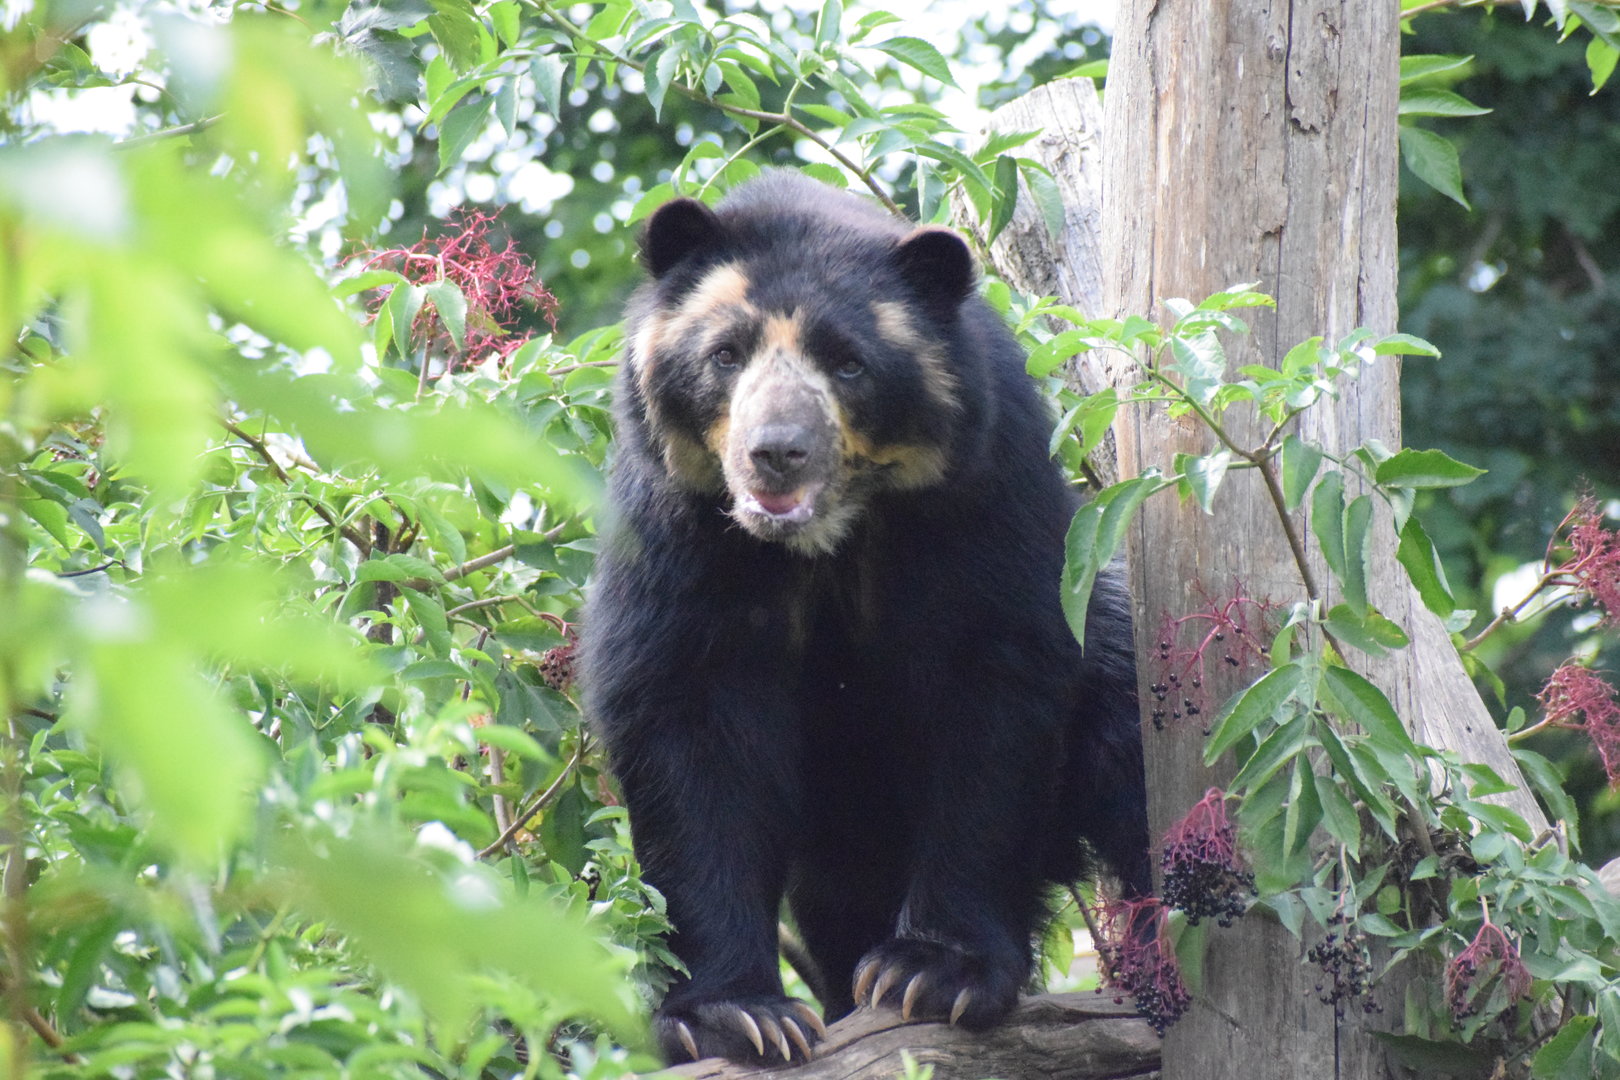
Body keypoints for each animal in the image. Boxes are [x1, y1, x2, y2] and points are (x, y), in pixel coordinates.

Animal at [581, 171, 1150, 1067]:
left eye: (848, 363)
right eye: (726, 354)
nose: (775, 453)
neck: (828, 537)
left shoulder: (989, 494)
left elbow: (994, 700)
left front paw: (933, 973)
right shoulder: (676, 525)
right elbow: (688, 725)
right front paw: (737, 1016)